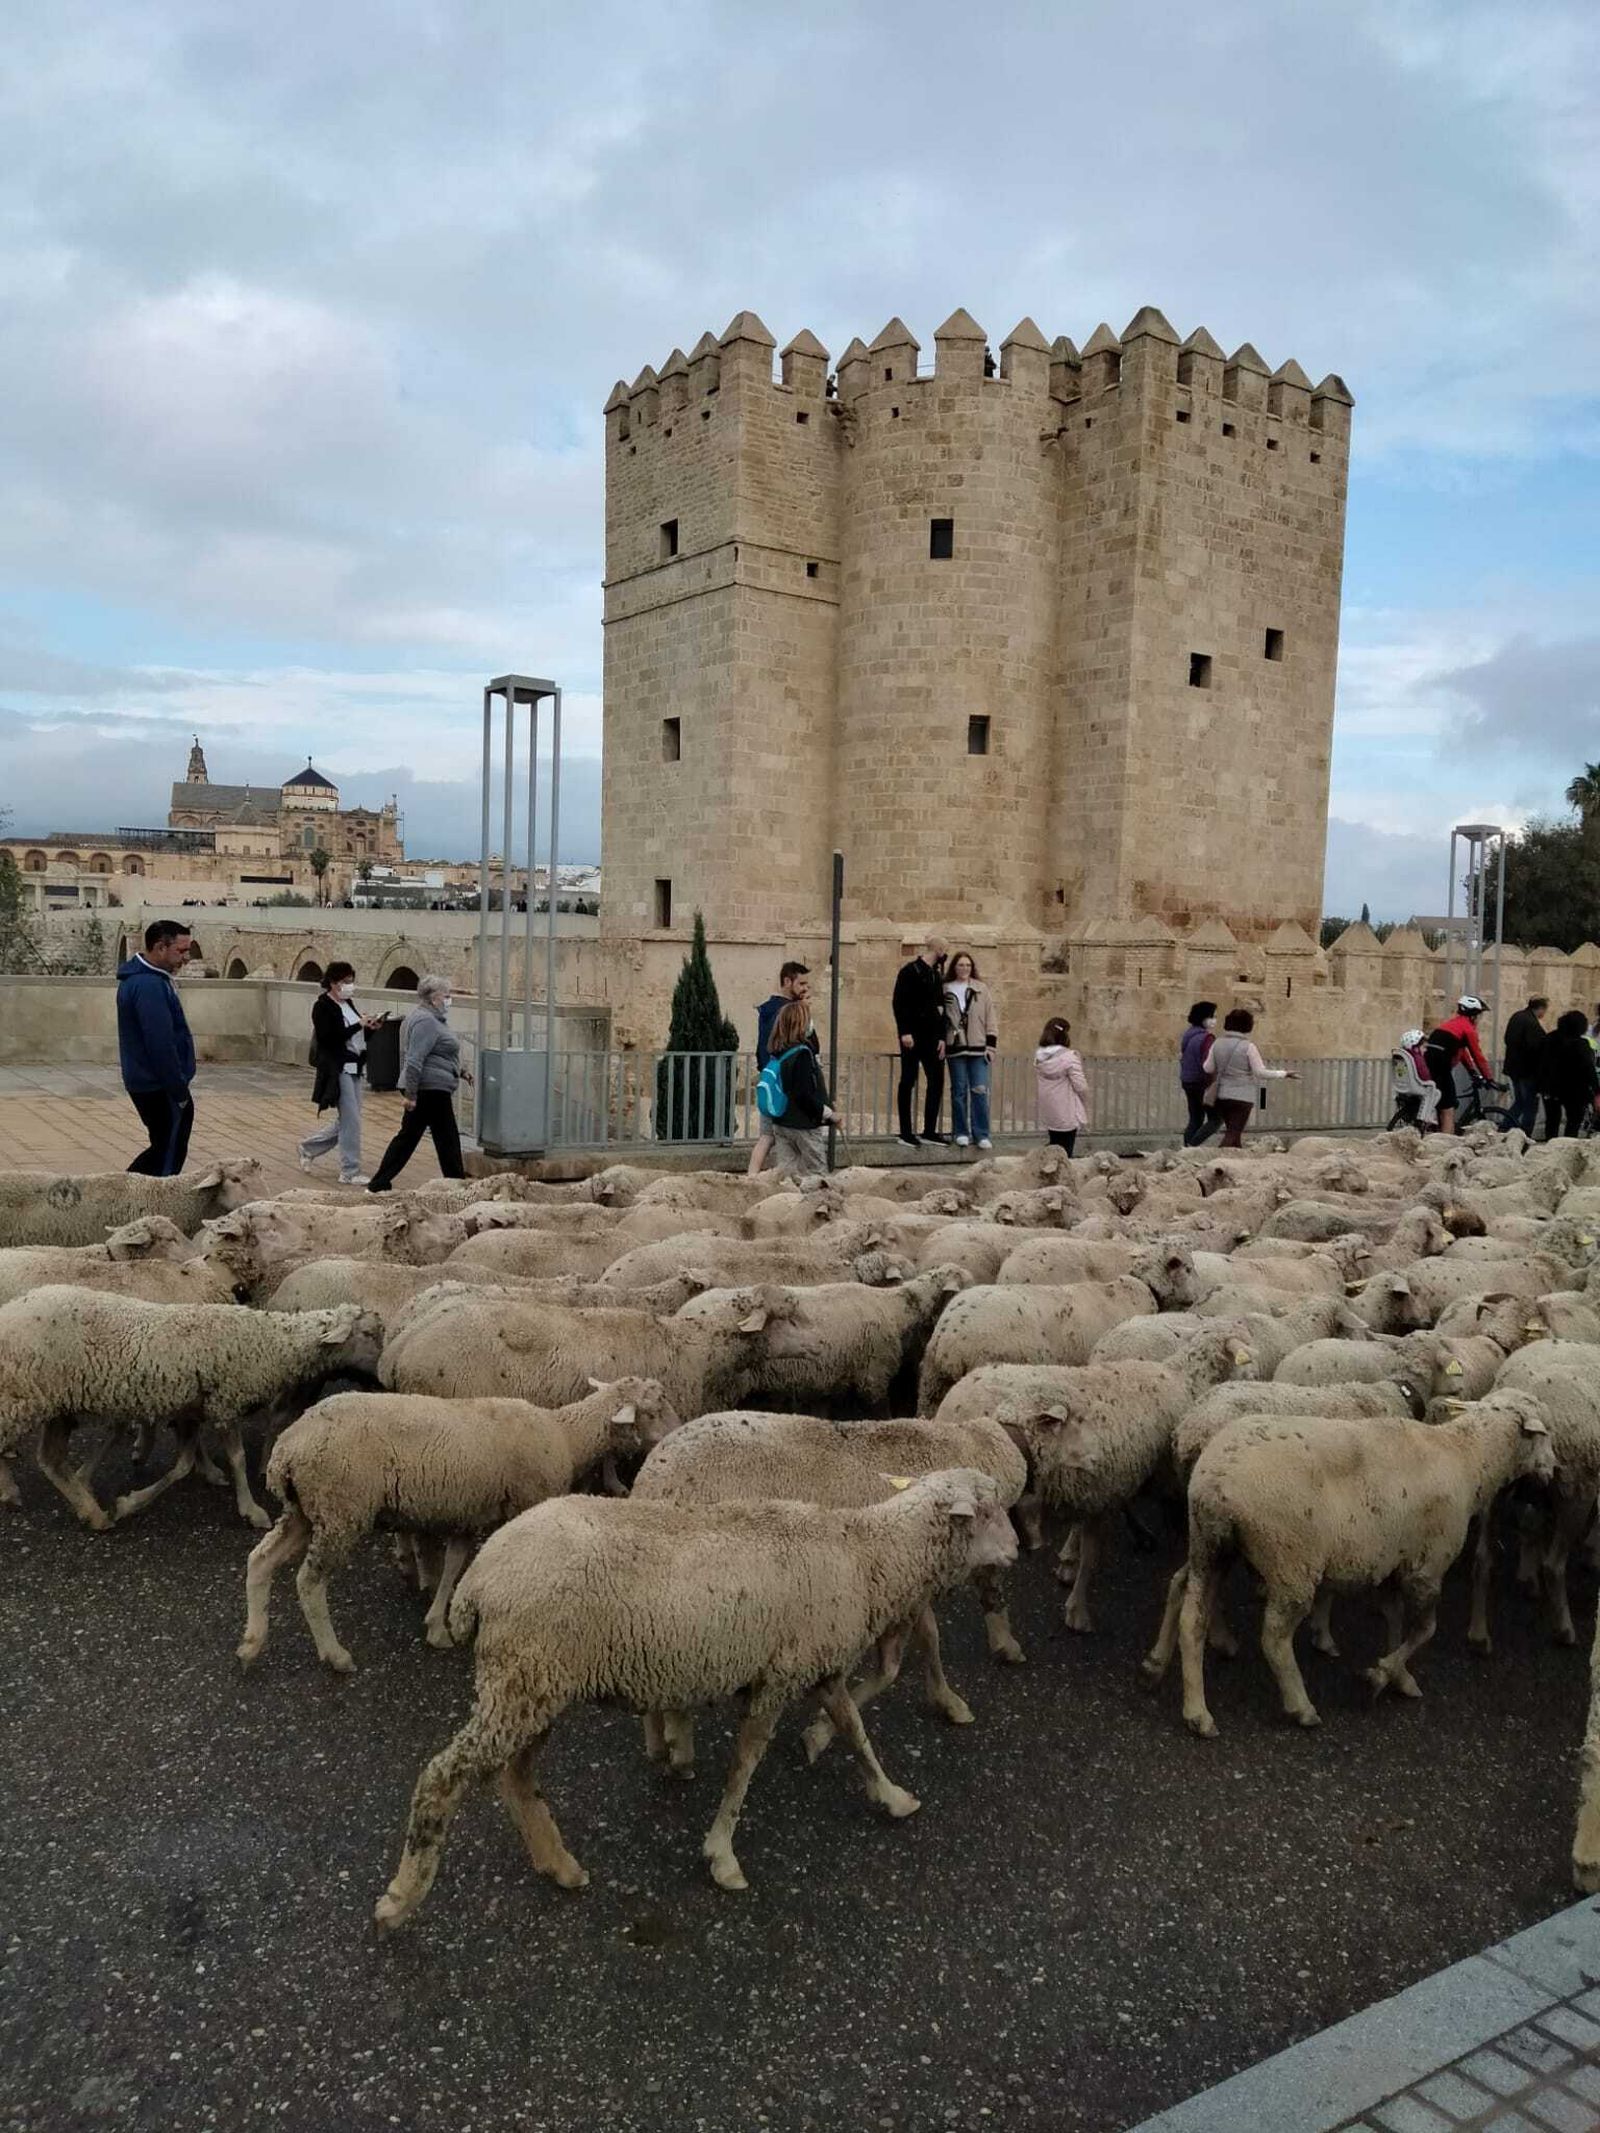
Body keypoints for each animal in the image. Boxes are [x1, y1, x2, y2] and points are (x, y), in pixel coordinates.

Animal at [0, 1289, 383, 1531]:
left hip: (55, 1402)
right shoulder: (226, 1400)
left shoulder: (191, 1409)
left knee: (50, 1460)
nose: (381, 1378)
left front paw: (129, 1503)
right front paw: (251, 1510)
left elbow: (184, 1465)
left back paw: (92, 1513)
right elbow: (237, 1459)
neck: (271, 1343)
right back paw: (13, 1492)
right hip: (21, 1395)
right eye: (368, 1333)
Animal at [239, 1377, 681, 1671]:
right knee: (309, 1582)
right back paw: (335, 1654)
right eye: (654, 1411)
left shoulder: (469, 1512)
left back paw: (252, 1641)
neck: (566, 1435)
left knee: (260, 1560)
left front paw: (439, 1626)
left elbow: (454, 1566)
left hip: (307, 1509)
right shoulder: (523, 1503)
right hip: (340, 1507)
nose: (679, 1433)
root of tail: (286, 1450)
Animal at [372, 1469, 1017, 1924]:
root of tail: (480, 1577)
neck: (867, 1554)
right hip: (523, 1675)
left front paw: (890, 1795)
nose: (1014, 1553)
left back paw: (559, 1866)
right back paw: (401, 1898)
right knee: (445, 1776)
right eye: (986, 1511)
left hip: (532, 1682)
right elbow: (746, 1764)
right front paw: (722, 1856)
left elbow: (855, 1731)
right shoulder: (778, 1677)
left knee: (516, 1776)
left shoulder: (819, 1666)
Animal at [1144, 1392, 1554, 1735]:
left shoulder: (1394, 1562)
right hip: (1290, 1558)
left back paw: (1182, 1695)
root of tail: (1214, 1479)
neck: (1467, 1457)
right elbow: (1425, 1629)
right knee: (1274, 1637)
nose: (1553, 1470)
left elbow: (1394, 1619)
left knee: (1189, 1607)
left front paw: (1400, 1676)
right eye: (1545, 1435)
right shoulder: (1427, 1566)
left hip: (1210, 1545)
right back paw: (1300, 1706)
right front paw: (1379, 1676)